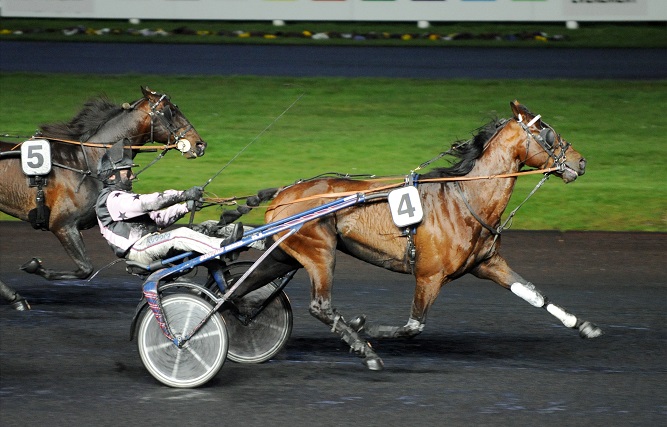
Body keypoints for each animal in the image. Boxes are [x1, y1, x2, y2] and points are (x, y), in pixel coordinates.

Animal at [0, 87, 206, 300]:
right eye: (170, 111)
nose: (199, 144)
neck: (85, 163)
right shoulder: (62, 224)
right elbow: (86, 269)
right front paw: (34, 268)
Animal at [239, 101, 600, 372]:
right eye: (548, 133)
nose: (581, 161)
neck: (466, 198)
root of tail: (283, 193)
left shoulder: (488, 263)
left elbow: (533, 294)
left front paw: (583, 325)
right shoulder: (430, 274)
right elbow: (413, 327)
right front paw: (363, 327)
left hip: (284, 254)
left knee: (243, 289)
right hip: (319, 252)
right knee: (320, 306)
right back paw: (365, 351)